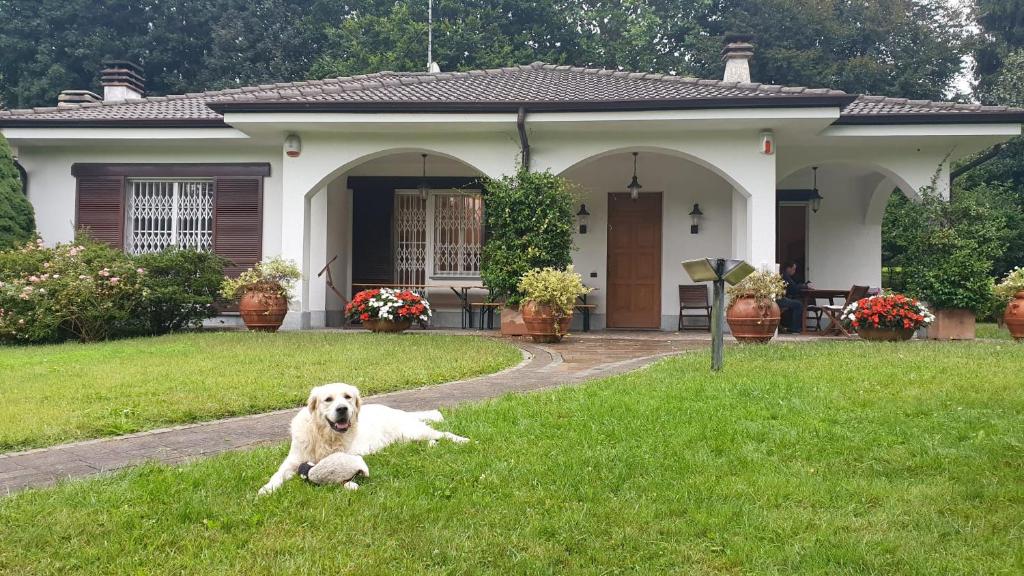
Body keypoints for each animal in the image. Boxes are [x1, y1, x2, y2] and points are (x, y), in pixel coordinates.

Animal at [260, 381, 468, 494]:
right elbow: (277, 475)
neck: (325, 437)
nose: (342, 409)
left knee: (443, 433)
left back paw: (463, 440)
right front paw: (266, 489)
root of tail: (398, 411)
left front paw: (348, 485)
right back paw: (432, 445)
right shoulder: (292, 461)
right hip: (408, 438)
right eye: (328, 399)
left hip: (413, 431)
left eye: (347, 397)